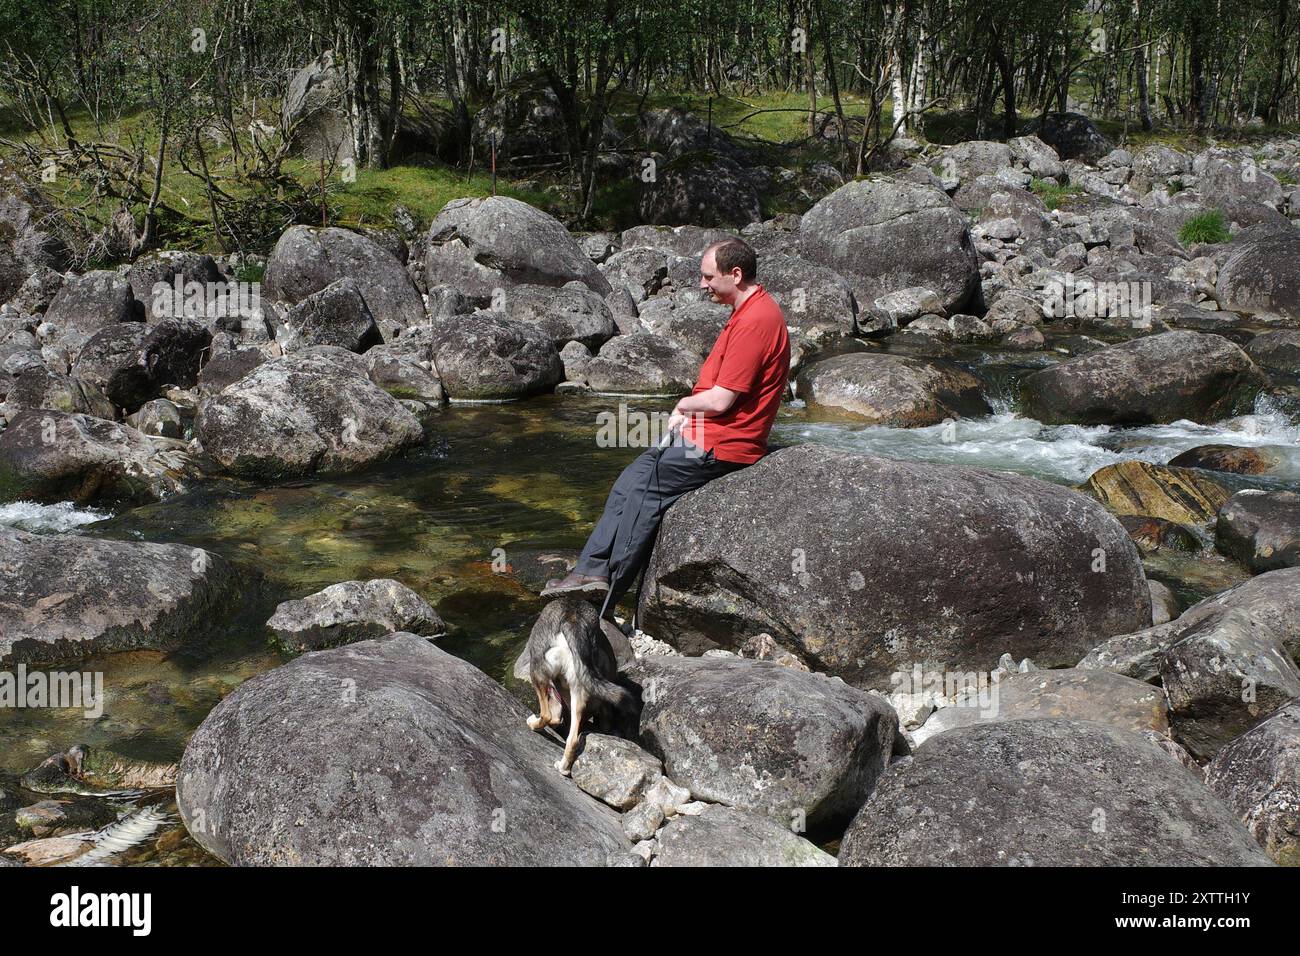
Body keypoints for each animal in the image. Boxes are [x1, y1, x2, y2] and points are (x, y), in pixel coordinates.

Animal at [520, 595, 637, 775]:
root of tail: (573, 618)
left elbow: (553, 716)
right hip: (578, 688)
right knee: (573, 737)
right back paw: (564, 768)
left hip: (538, 672)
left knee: (547, 715)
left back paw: (533, 724)